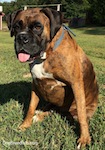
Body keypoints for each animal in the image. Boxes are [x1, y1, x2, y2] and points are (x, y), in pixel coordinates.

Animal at [6, 7, 98, 149]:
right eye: (16, 26)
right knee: (53, 109)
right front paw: (25, 125)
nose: (21, 37)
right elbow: (30, 108)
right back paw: (39, 114)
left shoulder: (76, 84)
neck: (46, 54)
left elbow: (82, 114)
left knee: (64, 112)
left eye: (38, 27)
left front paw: (84, 139)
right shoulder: (35, 83)